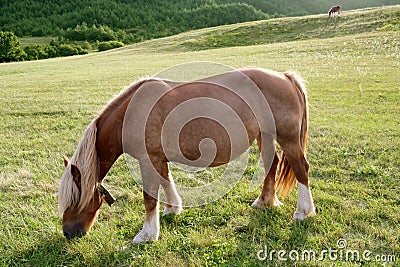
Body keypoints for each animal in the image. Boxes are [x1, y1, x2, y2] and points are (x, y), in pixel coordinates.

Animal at [58, 67, 316, 243]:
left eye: (74, 198)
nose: (68, 233)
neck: (131, 113)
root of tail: (285, 77)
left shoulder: (147, 160)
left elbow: (149, 197)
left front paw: (147, 234)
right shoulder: (157, 158)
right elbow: (166, 182)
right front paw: (172, 209)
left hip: (288, 138)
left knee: (300, 168)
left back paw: (303, 212)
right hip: (265, 135)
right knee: (271, 164)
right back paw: (264, 202)